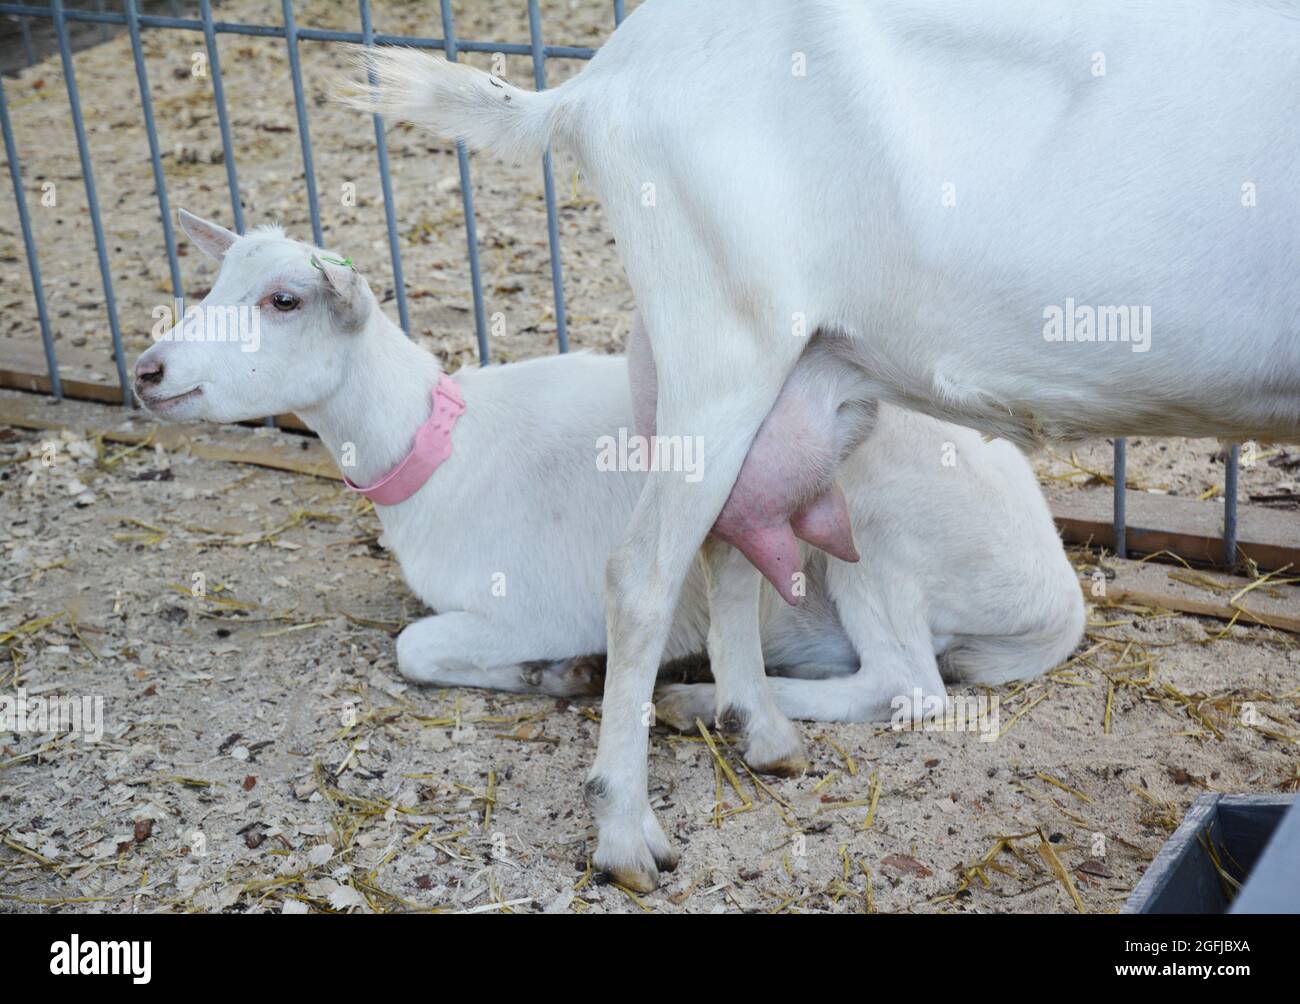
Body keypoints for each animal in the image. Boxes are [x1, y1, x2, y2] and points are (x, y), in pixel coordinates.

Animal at [356, 0, 1300, 884]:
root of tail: (594, 83)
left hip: (793, 380)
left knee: (735, 541)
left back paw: (753, 729)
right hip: (735, 356)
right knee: (660, 582)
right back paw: (627, 831)